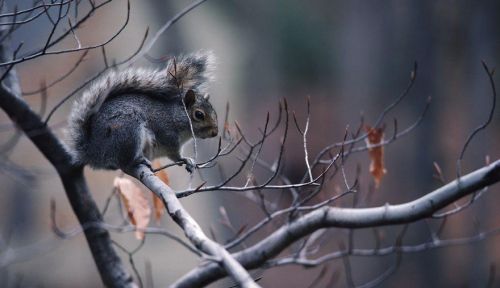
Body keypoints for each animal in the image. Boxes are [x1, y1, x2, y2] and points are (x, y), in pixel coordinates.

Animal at [65, 51, 218, 173]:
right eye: (199, 115)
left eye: (215, 113)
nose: (215, 133)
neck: (176, 117)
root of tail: (93, 151)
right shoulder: (167, 135)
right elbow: (175, 155)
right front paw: (185, 159)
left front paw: (188, 162)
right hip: (128, 130)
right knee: (125, 162)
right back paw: (138, 161)